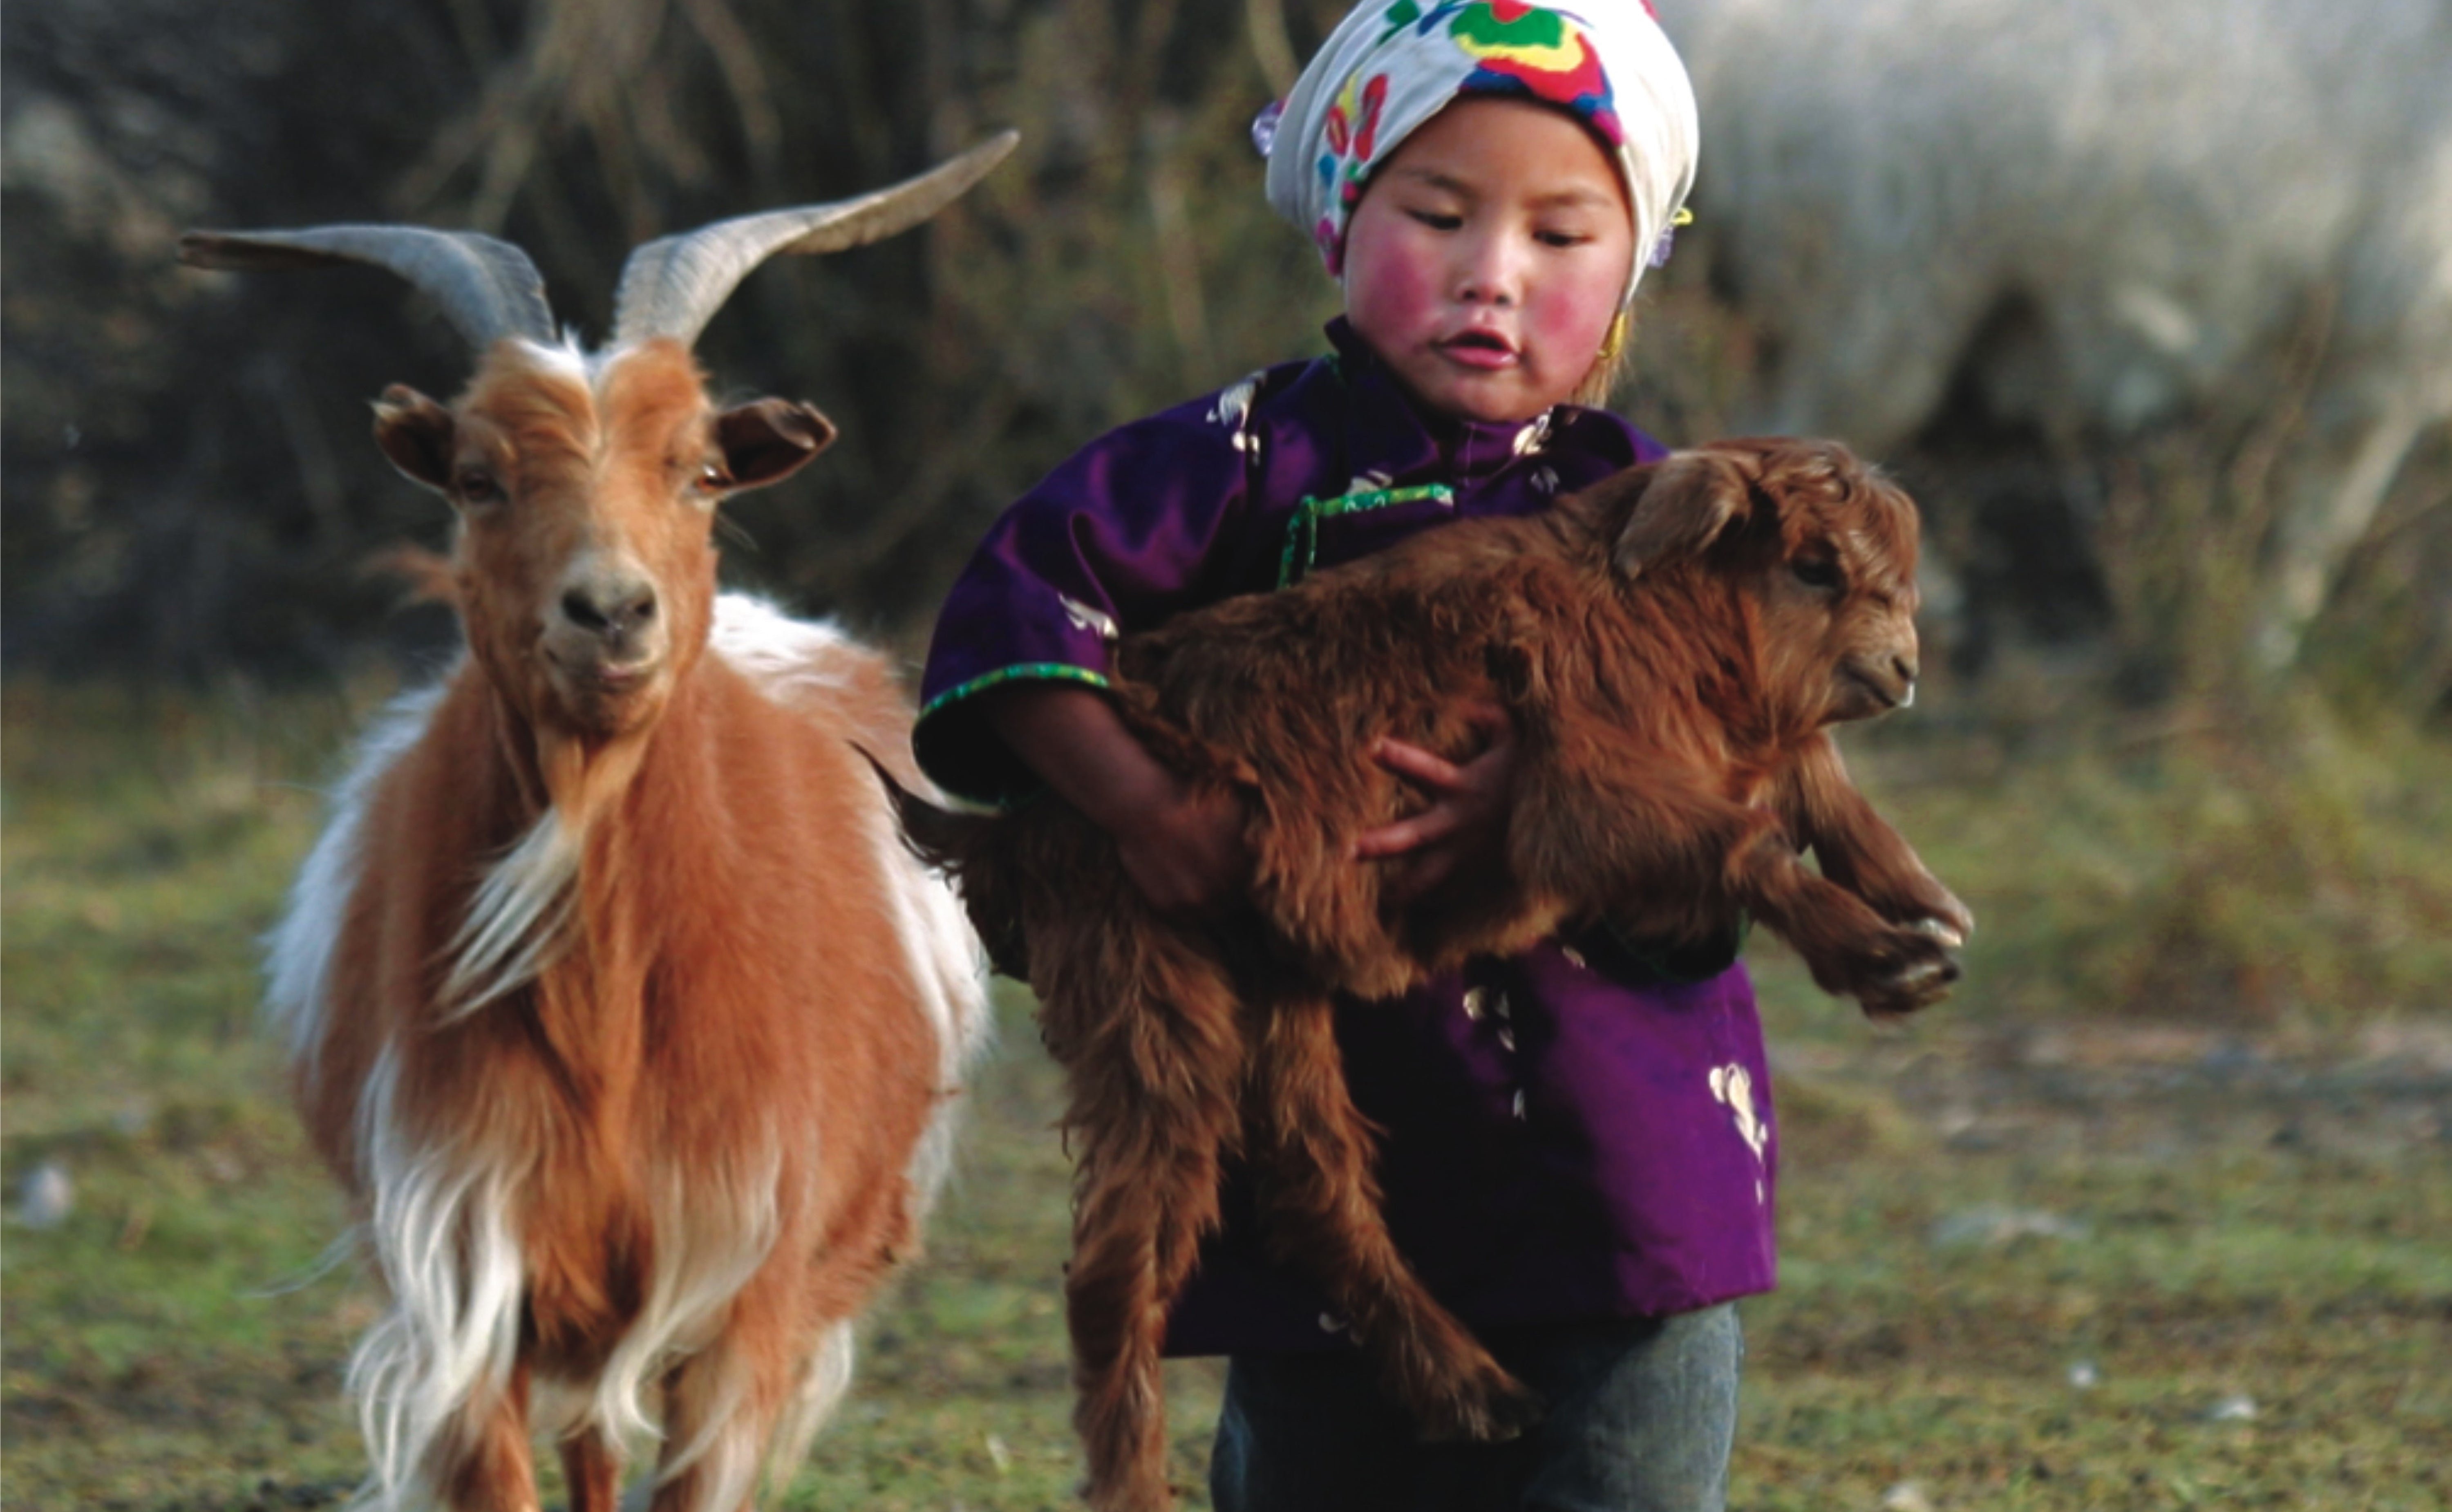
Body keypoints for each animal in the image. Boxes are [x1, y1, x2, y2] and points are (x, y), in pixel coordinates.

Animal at [189, 133, 1015, 1510]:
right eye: (478, 480)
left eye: (701, 470)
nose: (613, 612)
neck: (608, 1007)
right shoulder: (470, 1281)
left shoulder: (740, 1287)